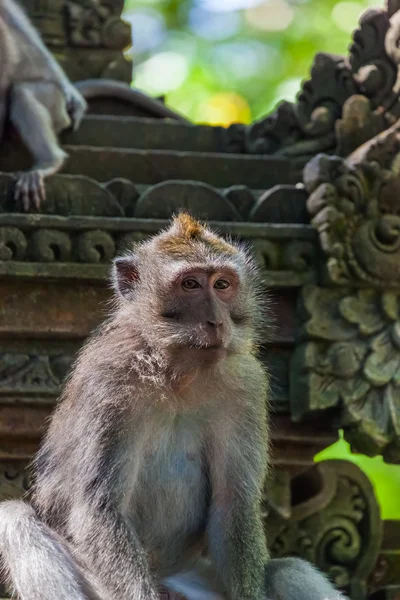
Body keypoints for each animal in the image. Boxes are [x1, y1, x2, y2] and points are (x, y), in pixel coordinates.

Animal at [0, 213, 346, 596]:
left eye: (222, 284)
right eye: (190, 284)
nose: (217, 321)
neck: (175, 371)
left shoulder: (246, 385)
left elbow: (233, 501)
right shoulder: (109, 379)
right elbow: (100, 506)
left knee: (289, 570)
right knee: (16, 519)